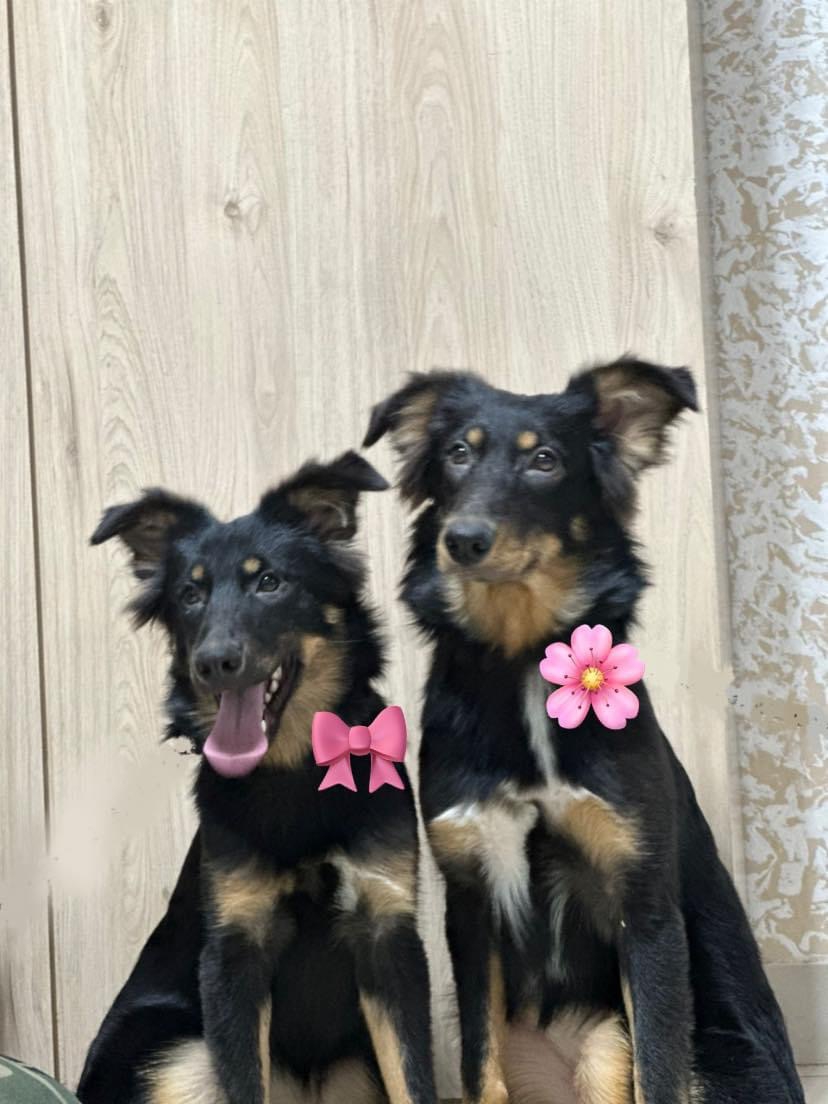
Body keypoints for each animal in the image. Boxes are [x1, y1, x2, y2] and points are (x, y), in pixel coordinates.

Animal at [77, 451, 438, 1104]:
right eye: (189, 594)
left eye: (269, 582)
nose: (213, 664)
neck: (293, 771)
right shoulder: (234, 958)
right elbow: (244, 1078)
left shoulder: (389, 940)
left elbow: (415, 1078)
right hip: (176, 1048)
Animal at [364, 361, 803, 1104]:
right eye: (457, 454)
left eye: (545, 460)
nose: (463, 540)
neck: (522, 661)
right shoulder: (470, 905)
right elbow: (481, 1068)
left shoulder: (644, 905)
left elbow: (659, 1068)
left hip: (649, 1047)